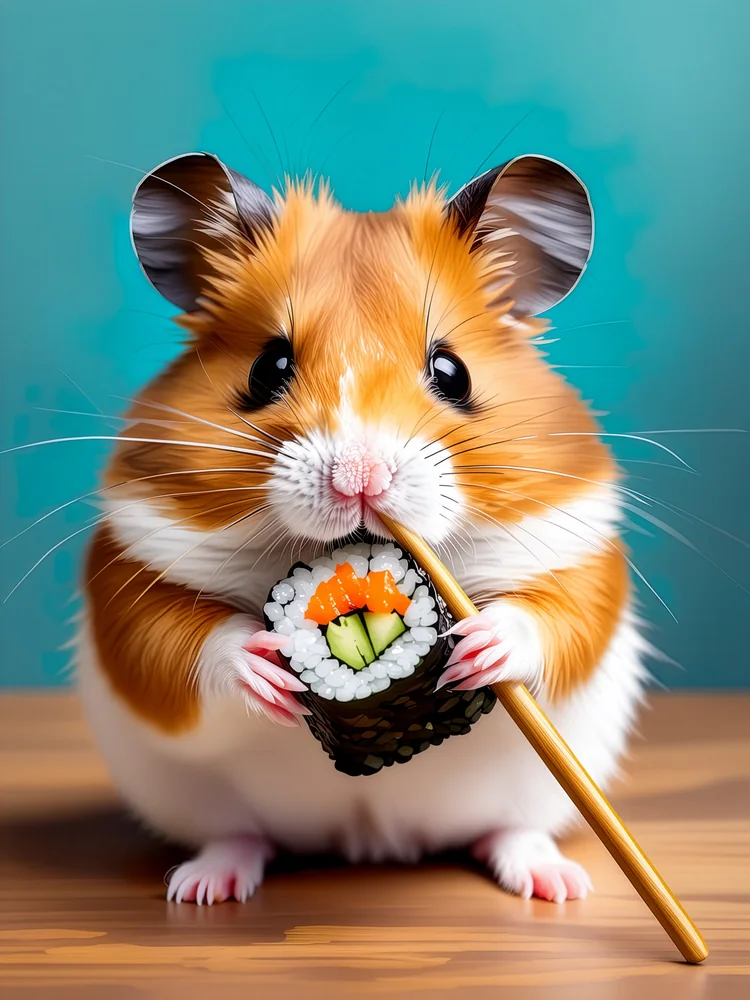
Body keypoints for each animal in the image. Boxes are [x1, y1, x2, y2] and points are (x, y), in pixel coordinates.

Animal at [75, 150, 649, 905]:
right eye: (268, 367)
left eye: (452, 372)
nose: (360, 478)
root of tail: (372, 842)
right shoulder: (129, 568)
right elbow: (177, 647)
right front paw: (266, 669)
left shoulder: (579, 546)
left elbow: (558, 619)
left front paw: (480, 647)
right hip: (196, 803)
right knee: (237, 836)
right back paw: (202, 888)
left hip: (531, 797)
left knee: (511, 831)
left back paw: (558, 885)